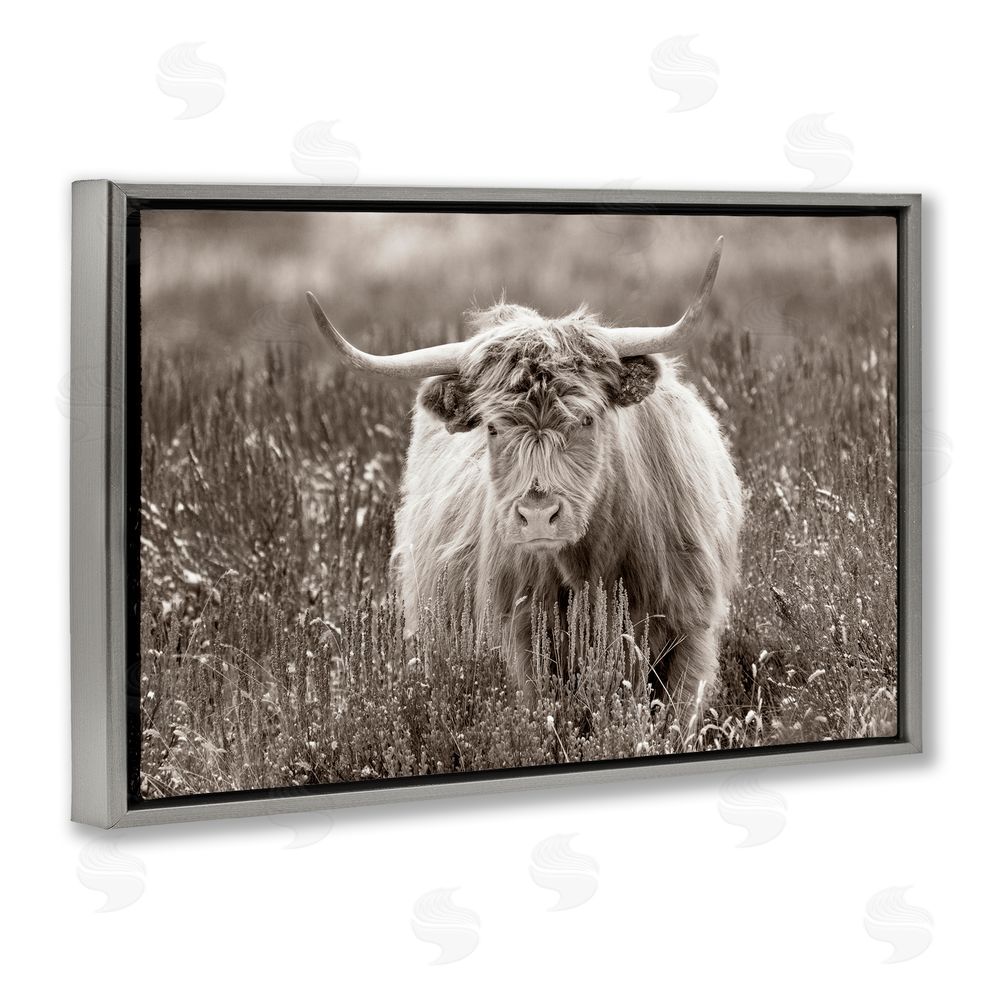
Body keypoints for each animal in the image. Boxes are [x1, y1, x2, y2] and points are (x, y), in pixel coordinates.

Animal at [305, 237, 743, 708]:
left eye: (586, 419)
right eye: (493, 428)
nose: (537, 516)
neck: (593, 567)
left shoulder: (691, 632)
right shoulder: (522, 640)